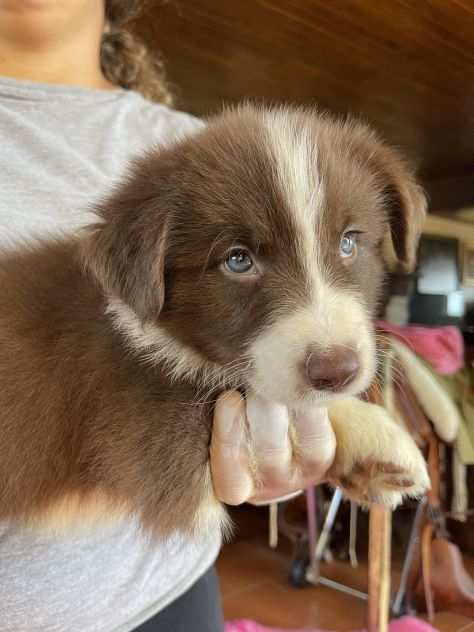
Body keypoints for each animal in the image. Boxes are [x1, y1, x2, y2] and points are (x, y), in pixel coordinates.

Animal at [0, 105, 430, 540]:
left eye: (348, 242)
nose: (337, 371)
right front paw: (370, 431)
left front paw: (373, 446)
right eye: (238, 260)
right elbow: (255, 397)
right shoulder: (150, 443)